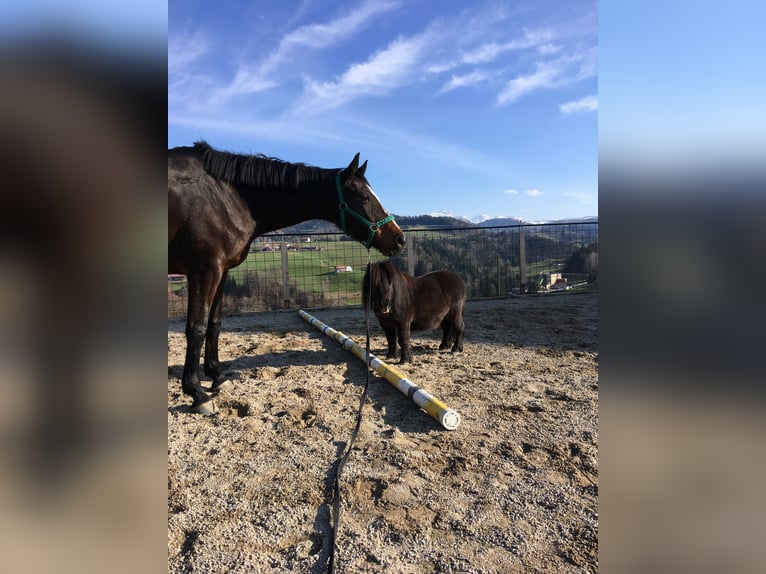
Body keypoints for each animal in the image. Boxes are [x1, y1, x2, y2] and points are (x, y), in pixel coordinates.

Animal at [170, 143, 408, 414]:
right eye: (365, 197)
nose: (399, 238)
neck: (226, 197)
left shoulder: (222, 271)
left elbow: (215, 324)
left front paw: (217, 377)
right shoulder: (205, 270)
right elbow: (197, 328)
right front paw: (197, 392)